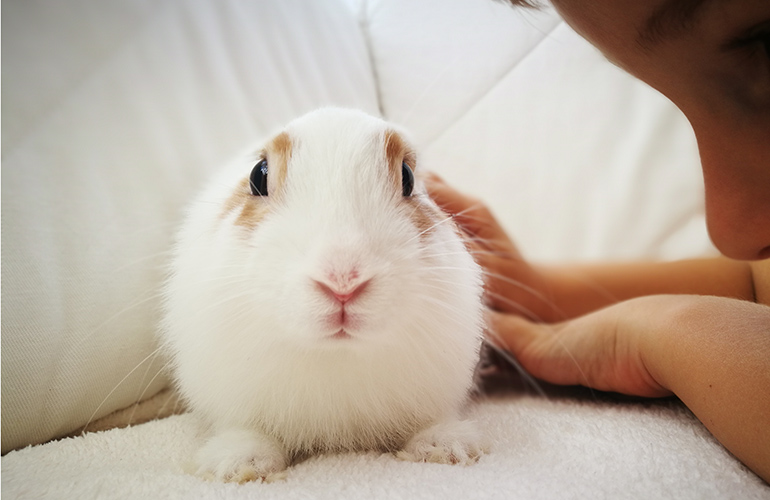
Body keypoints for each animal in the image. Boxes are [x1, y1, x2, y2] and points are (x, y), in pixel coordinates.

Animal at [161, 107, 487, 483]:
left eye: (407, 177)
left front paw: (445, 447)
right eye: (258, 176)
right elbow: (246, 430)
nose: (342, 280)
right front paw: (239, 465)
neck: (335, 356)